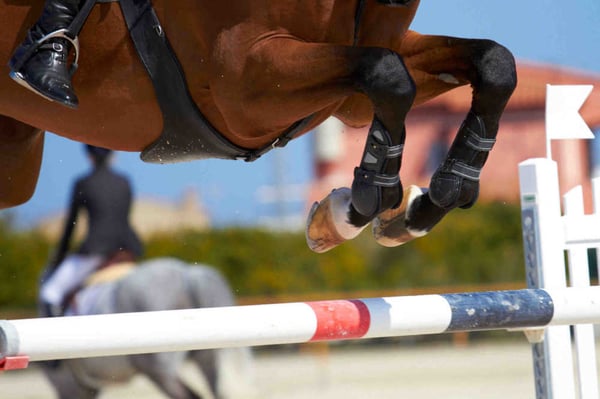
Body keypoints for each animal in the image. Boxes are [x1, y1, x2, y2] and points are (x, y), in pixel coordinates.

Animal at [0, 0, 516, 253]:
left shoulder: (352, 92)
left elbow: (495, 64)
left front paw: (427, 202)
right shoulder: (244, 86)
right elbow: (388, 75)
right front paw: (356, 207)